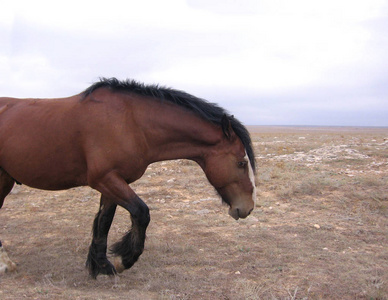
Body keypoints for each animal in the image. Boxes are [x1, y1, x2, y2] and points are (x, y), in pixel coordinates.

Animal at [0, 78, 258, 278]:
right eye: (241, 163)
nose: (247, 207)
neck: (130, 122)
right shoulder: (106, 179)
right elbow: (141, 214)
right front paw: (122, 261)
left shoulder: (112, 182)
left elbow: (103, 223)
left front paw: (100, 266)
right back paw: (5, 264)